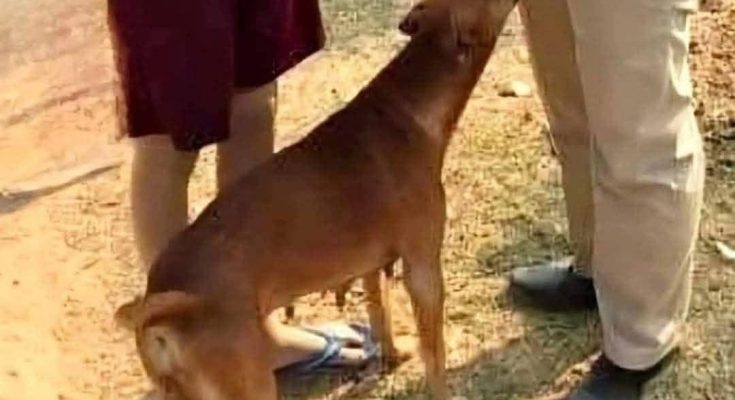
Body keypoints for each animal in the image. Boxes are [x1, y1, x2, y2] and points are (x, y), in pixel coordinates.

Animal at [115, 0, 517, 398]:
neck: (405, 108)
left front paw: (392, 354)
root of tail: (165, 305)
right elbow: (435, 354)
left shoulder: (371, 266)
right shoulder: (423, 269)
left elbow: (380, 309)